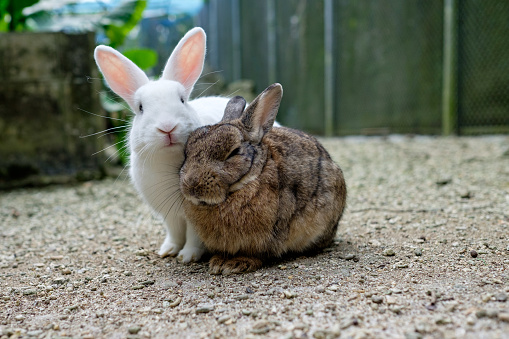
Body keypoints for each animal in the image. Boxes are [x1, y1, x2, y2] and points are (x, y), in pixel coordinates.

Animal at [94, 27, 230, 264]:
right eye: (140, 108)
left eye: (183, 100)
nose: (167, 127)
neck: (169, 159)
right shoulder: (169, 215)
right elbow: (174, 232)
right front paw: (167, 250)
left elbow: (194, 236)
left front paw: (187, 256)